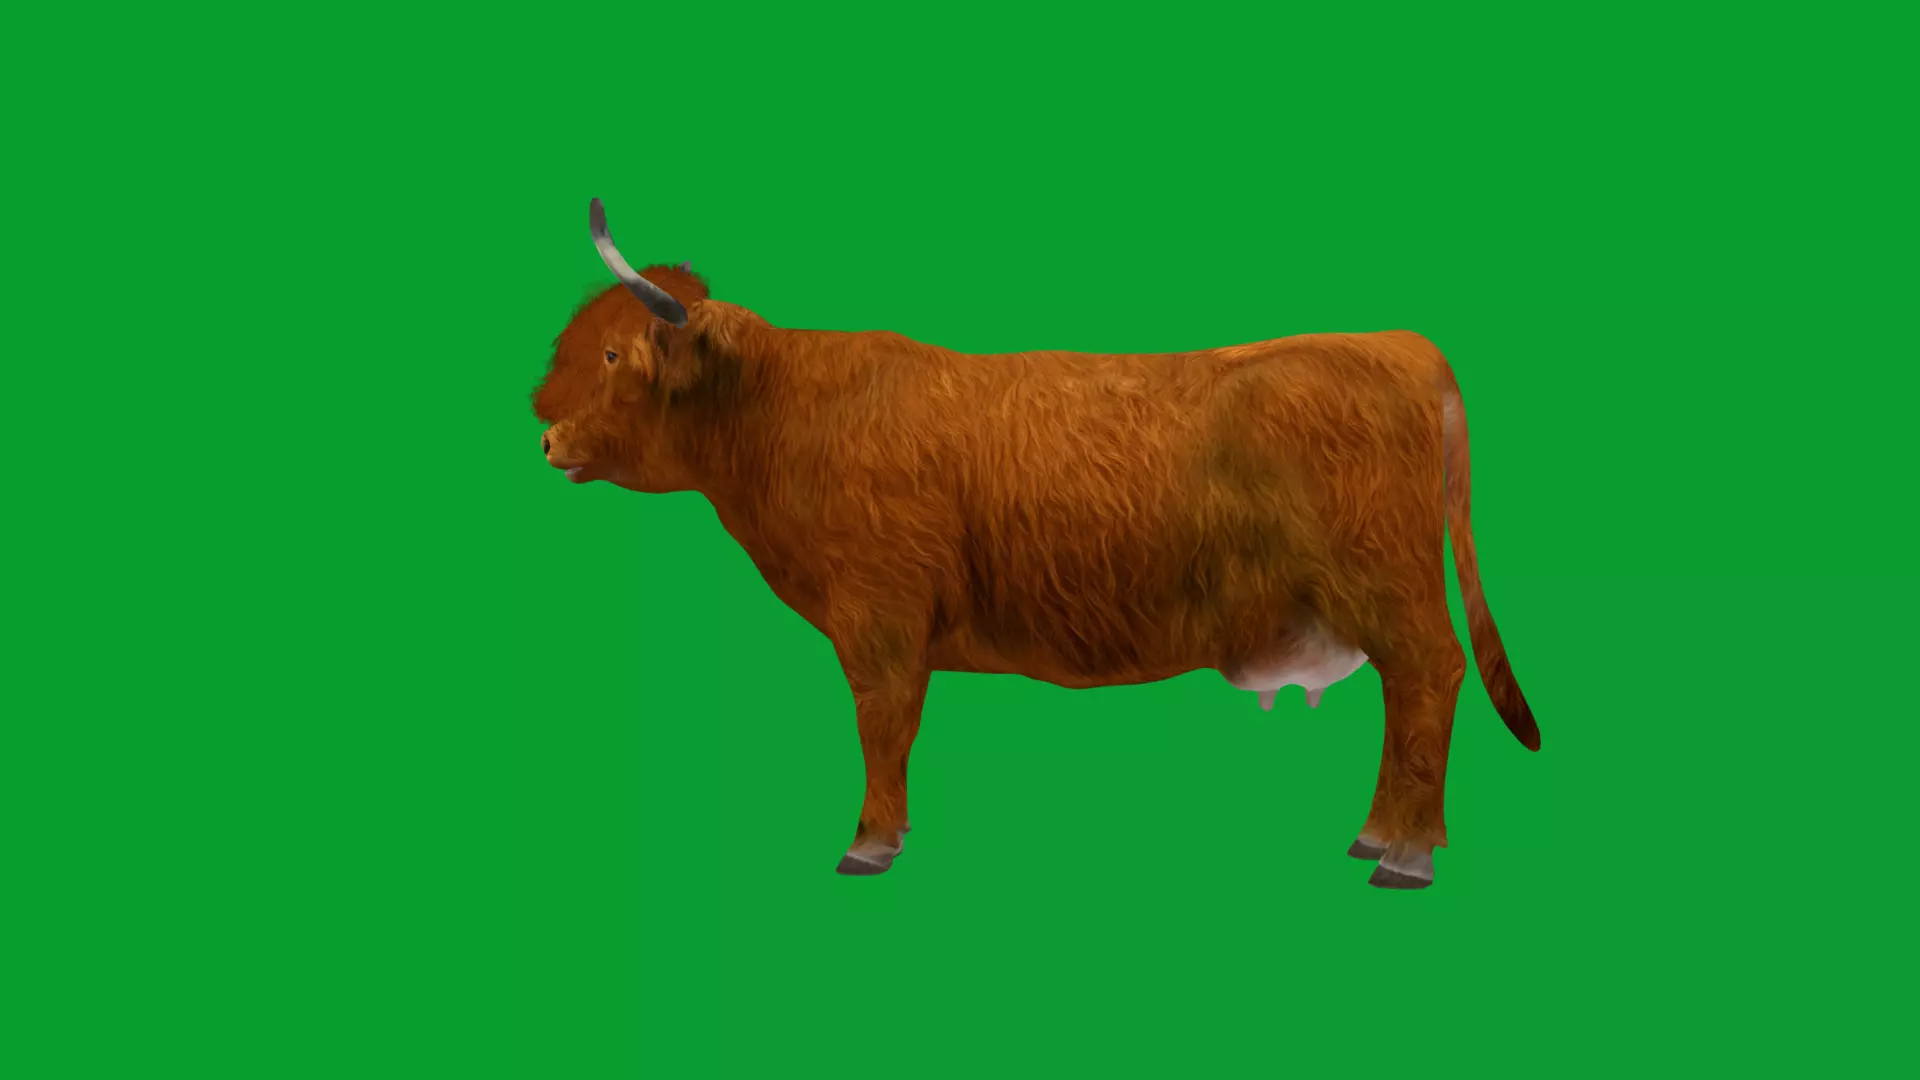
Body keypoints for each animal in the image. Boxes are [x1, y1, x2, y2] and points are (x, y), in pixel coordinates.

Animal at [531, 198, 1541, 890]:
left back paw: (1405, 852)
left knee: (1428, 681)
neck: (785, 416)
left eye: (614, 354)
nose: (541, 436)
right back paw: (1377, 834)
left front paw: (871, 841)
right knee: (1408, 698)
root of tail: (1394, 342)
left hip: (1388, 588)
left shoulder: (880, 618)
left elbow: (882, 724)